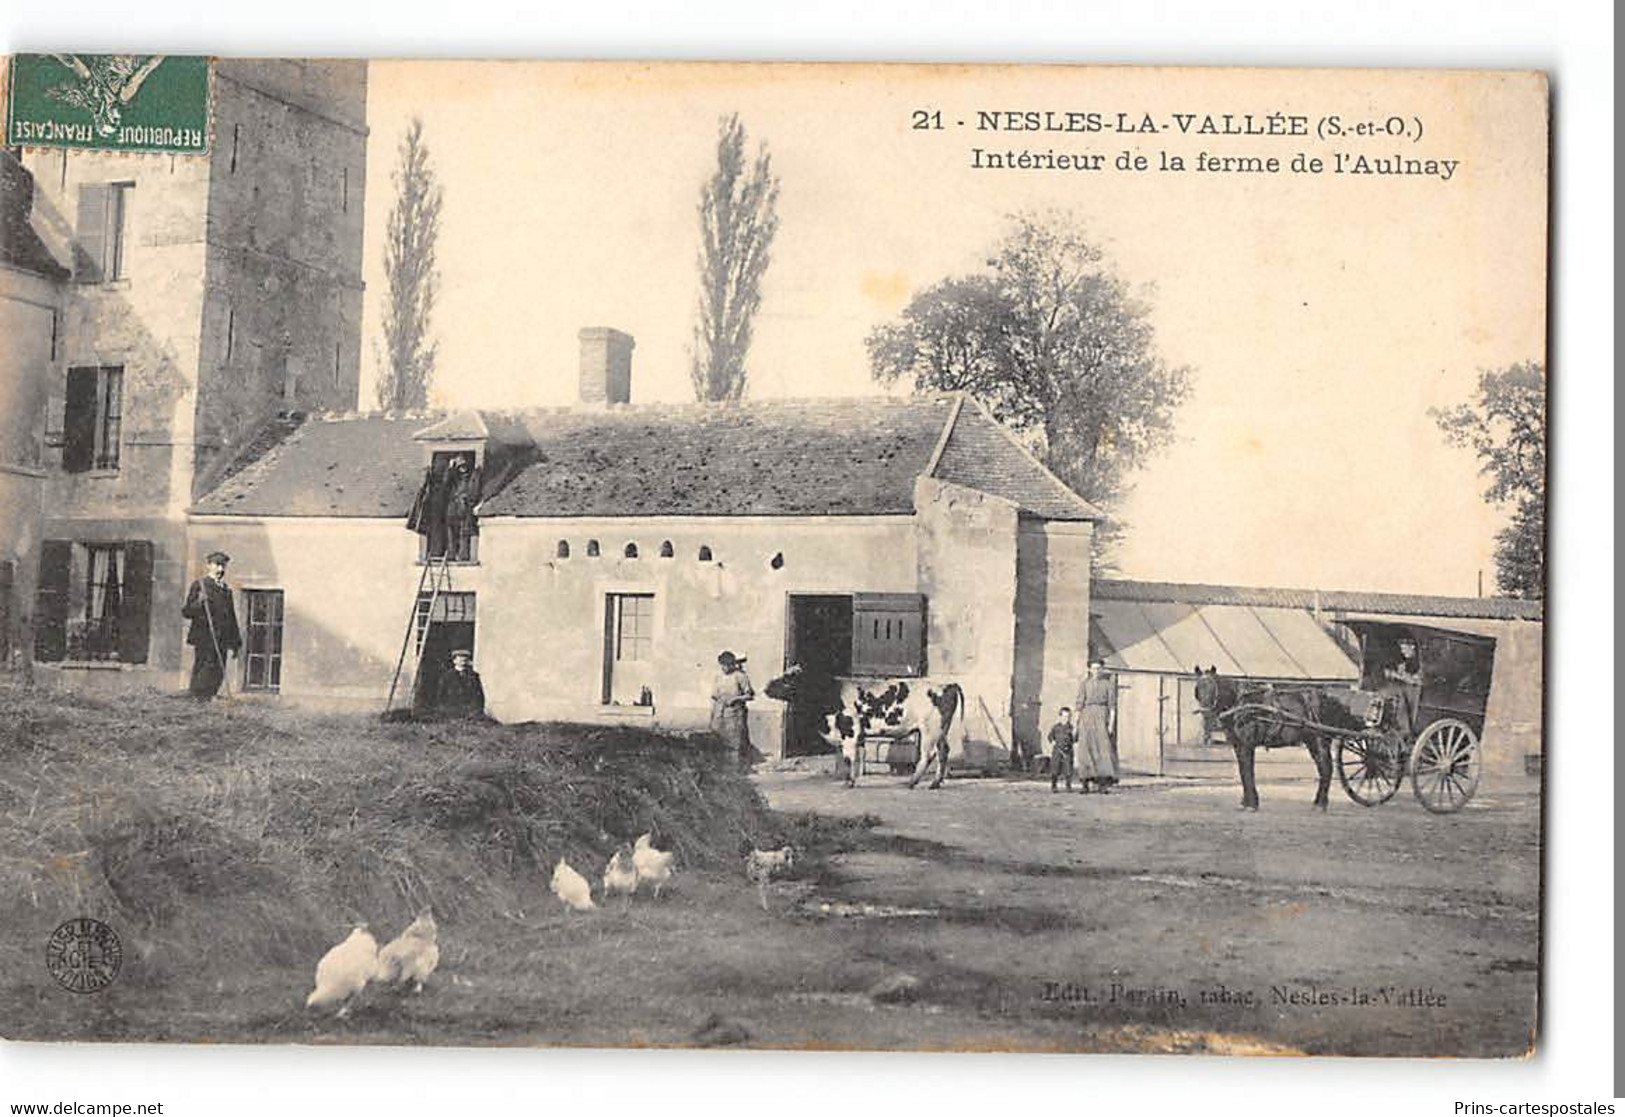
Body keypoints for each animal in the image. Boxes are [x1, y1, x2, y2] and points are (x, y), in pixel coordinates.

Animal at [760, 669, 962, 790]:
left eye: (788, 680)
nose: (766, 687)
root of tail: (947, 685)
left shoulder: (849, 732)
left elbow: (849, 758)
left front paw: (848, 782)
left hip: (930, 730)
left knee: (927, 755)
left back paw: (912, 782)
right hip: (940, 731)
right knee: (943, 751)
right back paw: (935, 783)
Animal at [1196, 663, 1332, 812]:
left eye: (1212, 687)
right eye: (1198, 688)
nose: (1206, 714)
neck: (1240, 704)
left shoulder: (1247, 745)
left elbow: (1248, 771)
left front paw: (1251, 804)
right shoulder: (1238, 745)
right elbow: (1243, 771)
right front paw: (1245, 802)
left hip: (1319, 740)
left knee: (1326, 767)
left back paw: (1321, 804)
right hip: (1311, 741)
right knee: (1322, 768)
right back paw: (1318, 802)